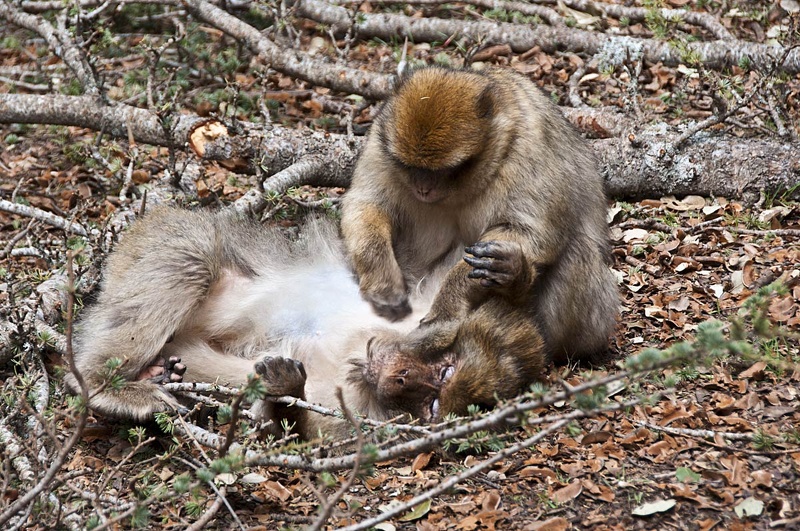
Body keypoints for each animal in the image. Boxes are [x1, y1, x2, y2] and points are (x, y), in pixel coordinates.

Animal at [67, 208, 552, 440]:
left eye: (433, 405)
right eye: (445, 369)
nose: (399, 378)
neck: (361, 349)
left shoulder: (358, 412)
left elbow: (285, 432)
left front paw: (285, 390)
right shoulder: (421, 302)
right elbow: (456, 271)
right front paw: (510, 273)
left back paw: (158, 374)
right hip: (158, 239)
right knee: (193, 252)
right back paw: (102, 383)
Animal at [340, 65, 620, 366]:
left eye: (446, 170)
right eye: (410, 166)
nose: (423, 188)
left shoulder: (527, 151)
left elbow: (530, 232)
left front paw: (446, 309)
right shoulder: (380, 146)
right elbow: (366, 204)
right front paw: (383, 280)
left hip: (592, 323)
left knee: (577, 251)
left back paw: (515, 278)